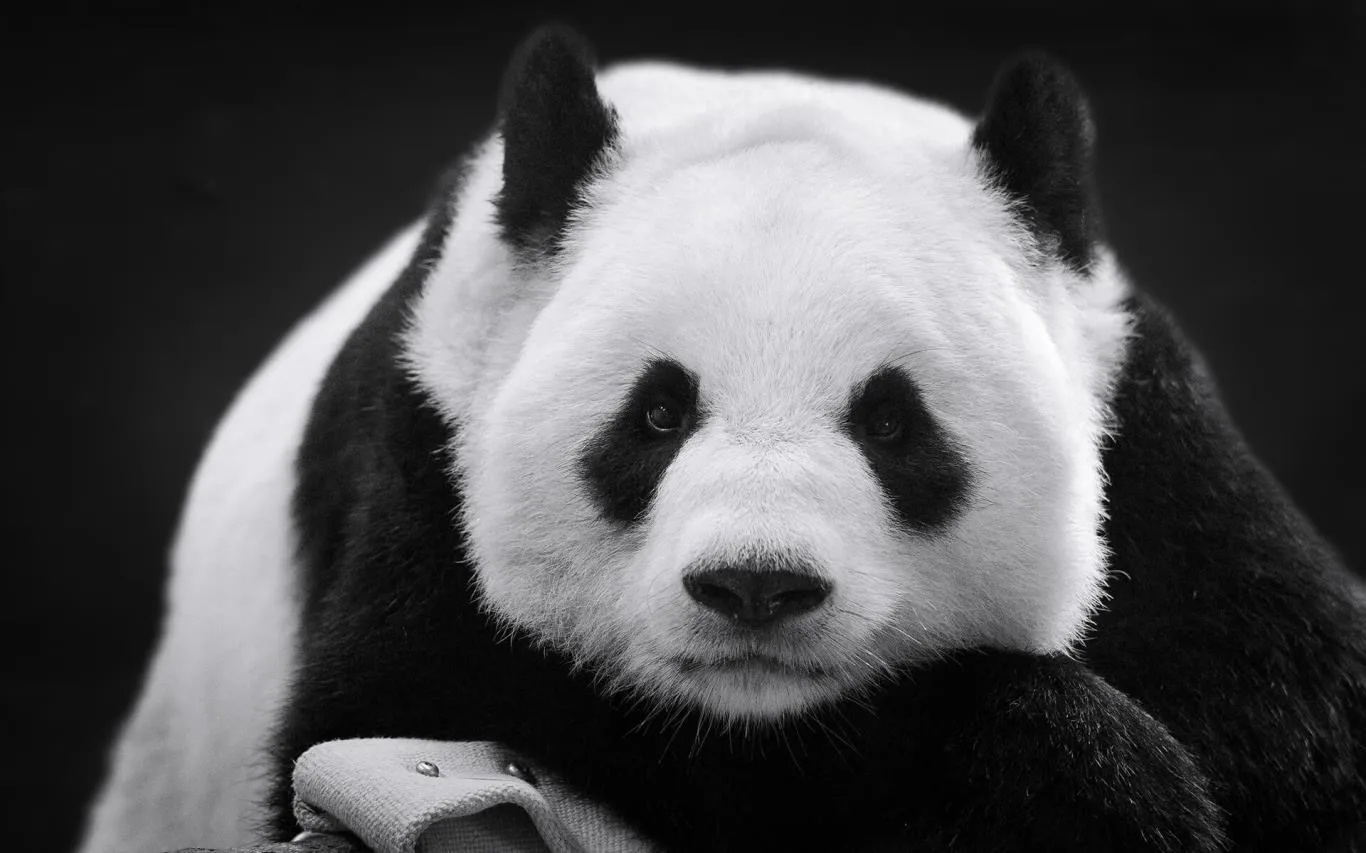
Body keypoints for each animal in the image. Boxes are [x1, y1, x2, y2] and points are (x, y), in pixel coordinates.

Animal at [80, 25, 1364, 853]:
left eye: (891, 421)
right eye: (656, 414)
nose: (755, 586)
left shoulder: (1161, 466)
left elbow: (1304, 742)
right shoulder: (427, 449)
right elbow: (412, 705)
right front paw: (1069, 776)